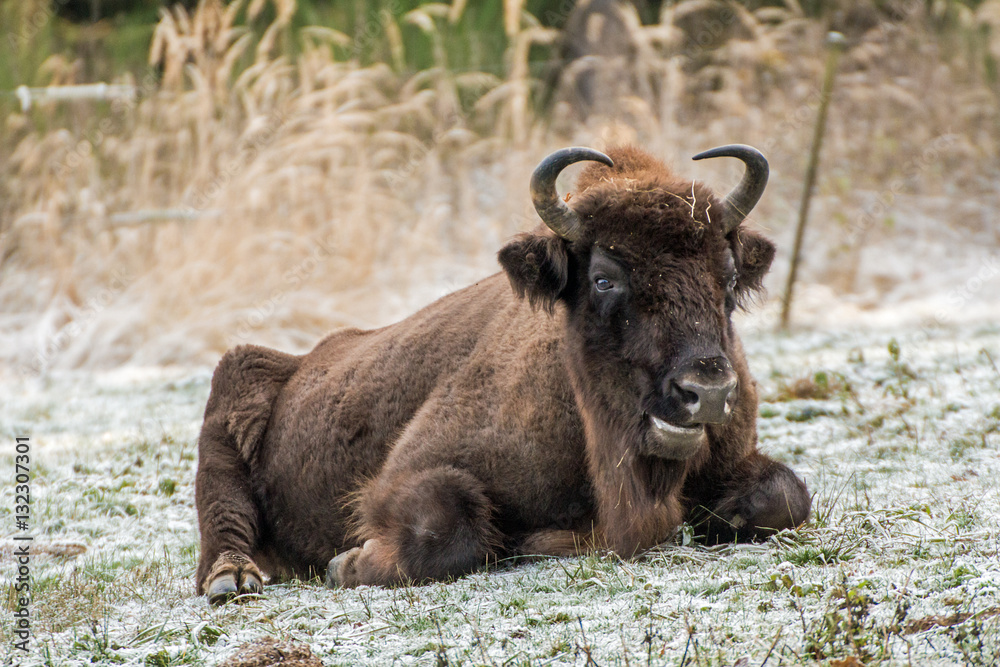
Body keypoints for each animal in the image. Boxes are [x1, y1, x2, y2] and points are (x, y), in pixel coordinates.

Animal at [195, 144, 812, 604]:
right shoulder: (408, 473)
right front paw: (346, 564)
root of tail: (302, 360)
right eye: (604, 279)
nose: (706, 390)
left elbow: (785, 498)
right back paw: (233, 580)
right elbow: (446, 529)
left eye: (727, 278)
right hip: (230, 393)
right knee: (222, 524)